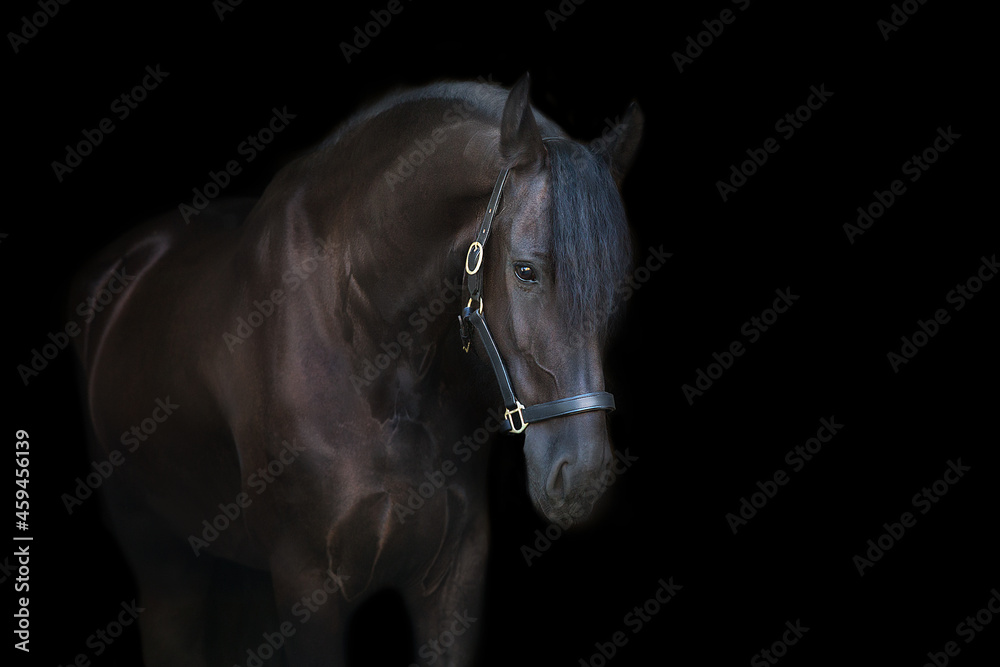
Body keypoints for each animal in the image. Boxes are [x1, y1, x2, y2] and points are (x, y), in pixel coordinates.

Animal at [68, 74, 643, 666]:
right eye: (525, 270)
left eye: (618, 281)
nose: (581, 476)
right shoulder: (306, 584)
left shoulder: (452, 581)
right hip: (166, 566)